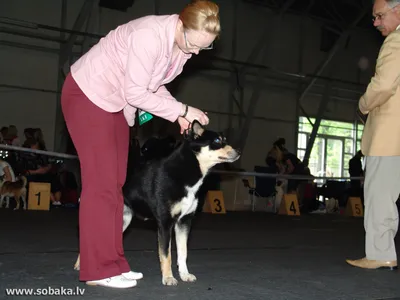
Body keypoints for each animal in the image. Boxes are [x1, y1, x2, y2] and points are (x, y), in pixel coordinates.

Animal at [73, 120, 239, 286]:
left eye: (225, 139)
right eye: (217, 141)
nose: (237, 152)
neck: (185, 171)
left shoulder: (184, 221)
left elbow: (183, 252)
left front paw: (185, 275)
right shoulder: (165, 223)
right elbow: (166, 255)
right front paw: (168, 278)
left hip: (124, 219)